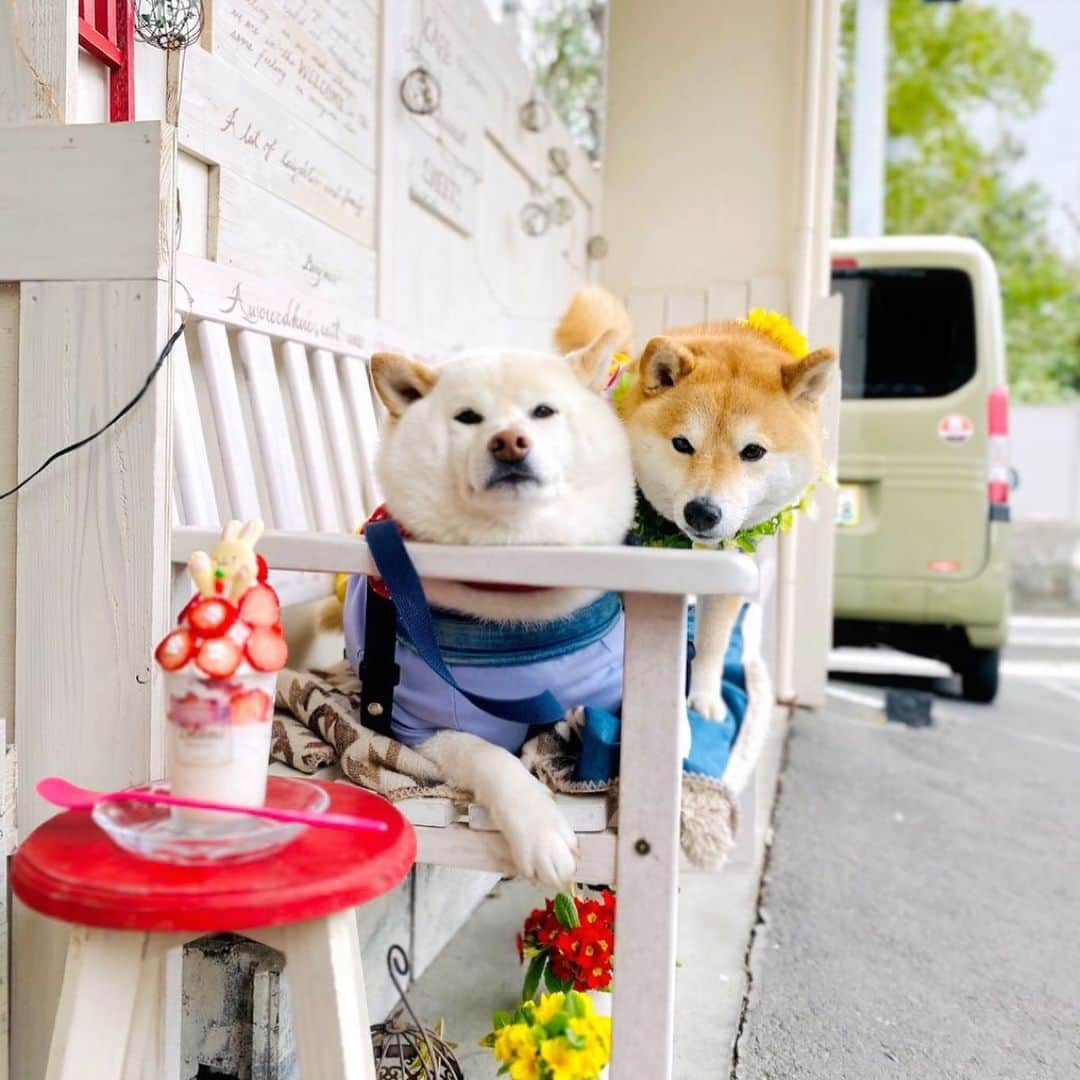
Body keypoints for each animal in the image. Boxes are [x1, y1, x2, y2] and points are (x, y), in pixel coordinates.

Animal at [354, 334, 635, 885]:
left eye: (543, 411)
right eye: (468, 417)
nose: (509, 441)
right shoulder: (419, 726)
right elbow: (489, 758)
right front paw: (540, 831)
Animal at [552, 287, 838, 725]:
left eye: (753, 451)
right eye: (682, 444)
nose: (702, 512)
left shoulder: (732, 563)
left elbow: (712, 642)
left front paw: (703, 697)